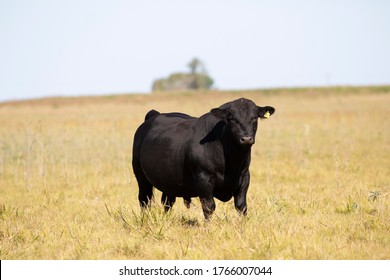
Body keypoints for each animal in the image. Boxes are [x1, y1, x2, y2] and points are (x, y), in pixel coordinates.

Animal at [133, 98, 276, 221]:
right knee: (144, 200)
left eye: (254, 118)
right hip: (141, 176)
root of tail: (155, 115)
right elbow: (209, 206)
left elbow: (241, 205)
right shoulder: (203, 178)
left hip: (169, 181)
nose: (246, 139)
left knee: (167, 202)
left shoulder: (244, 176)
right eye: (232, 119)